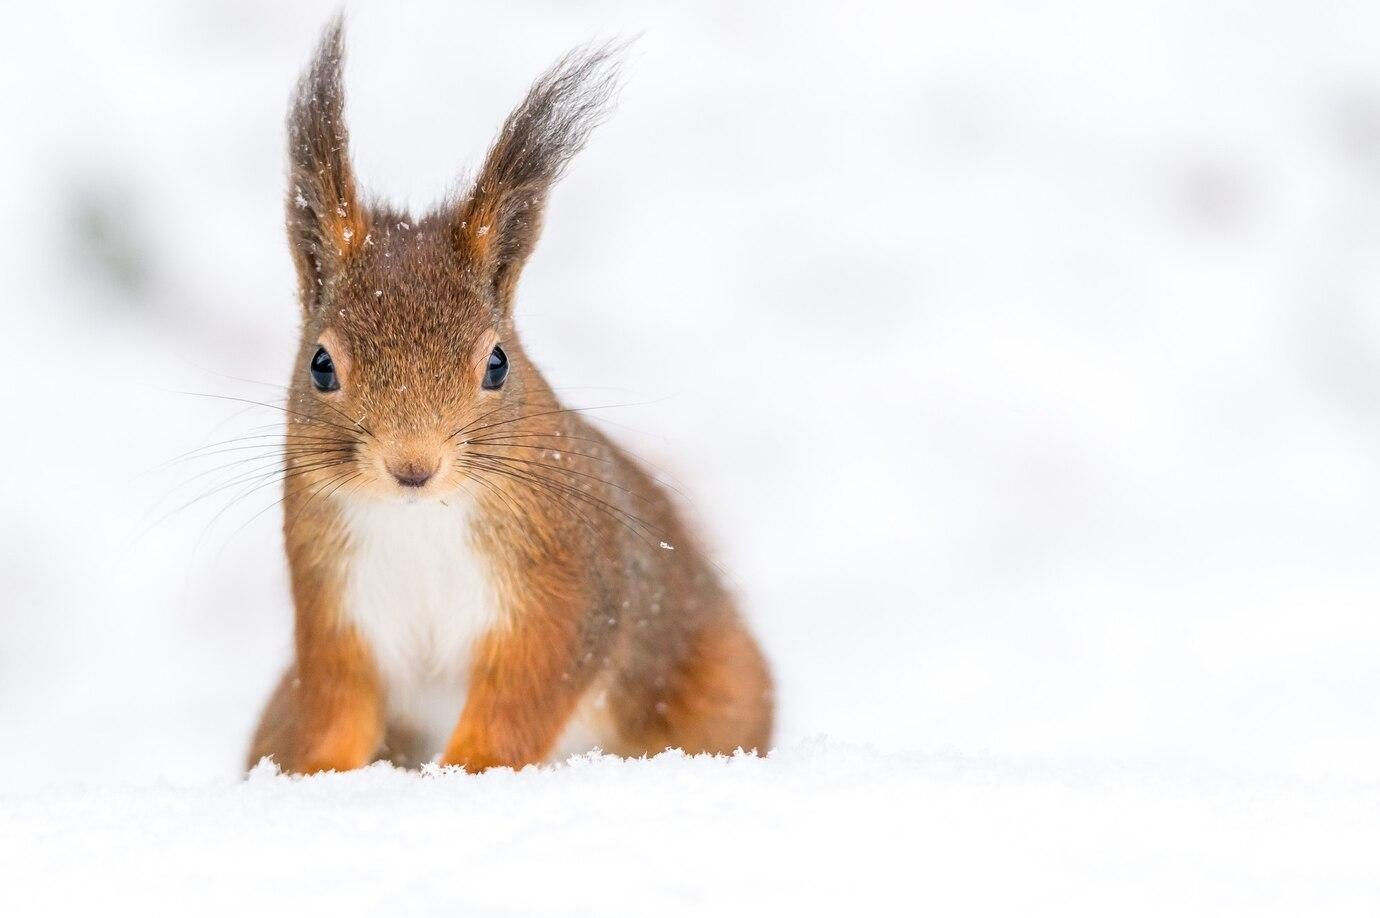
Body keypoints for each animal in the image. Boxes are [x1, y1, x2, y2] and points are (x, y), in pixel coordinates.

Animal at [248, 19, 778, 773]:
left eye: (497, 364)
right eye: (321, 366)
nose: (413, 467)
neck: (420, 520)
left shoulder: (562, 587)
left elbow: (523, 698)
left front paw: (465, 771)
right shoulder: (331, 610)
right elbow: (336, 707)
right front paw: (319, 776)